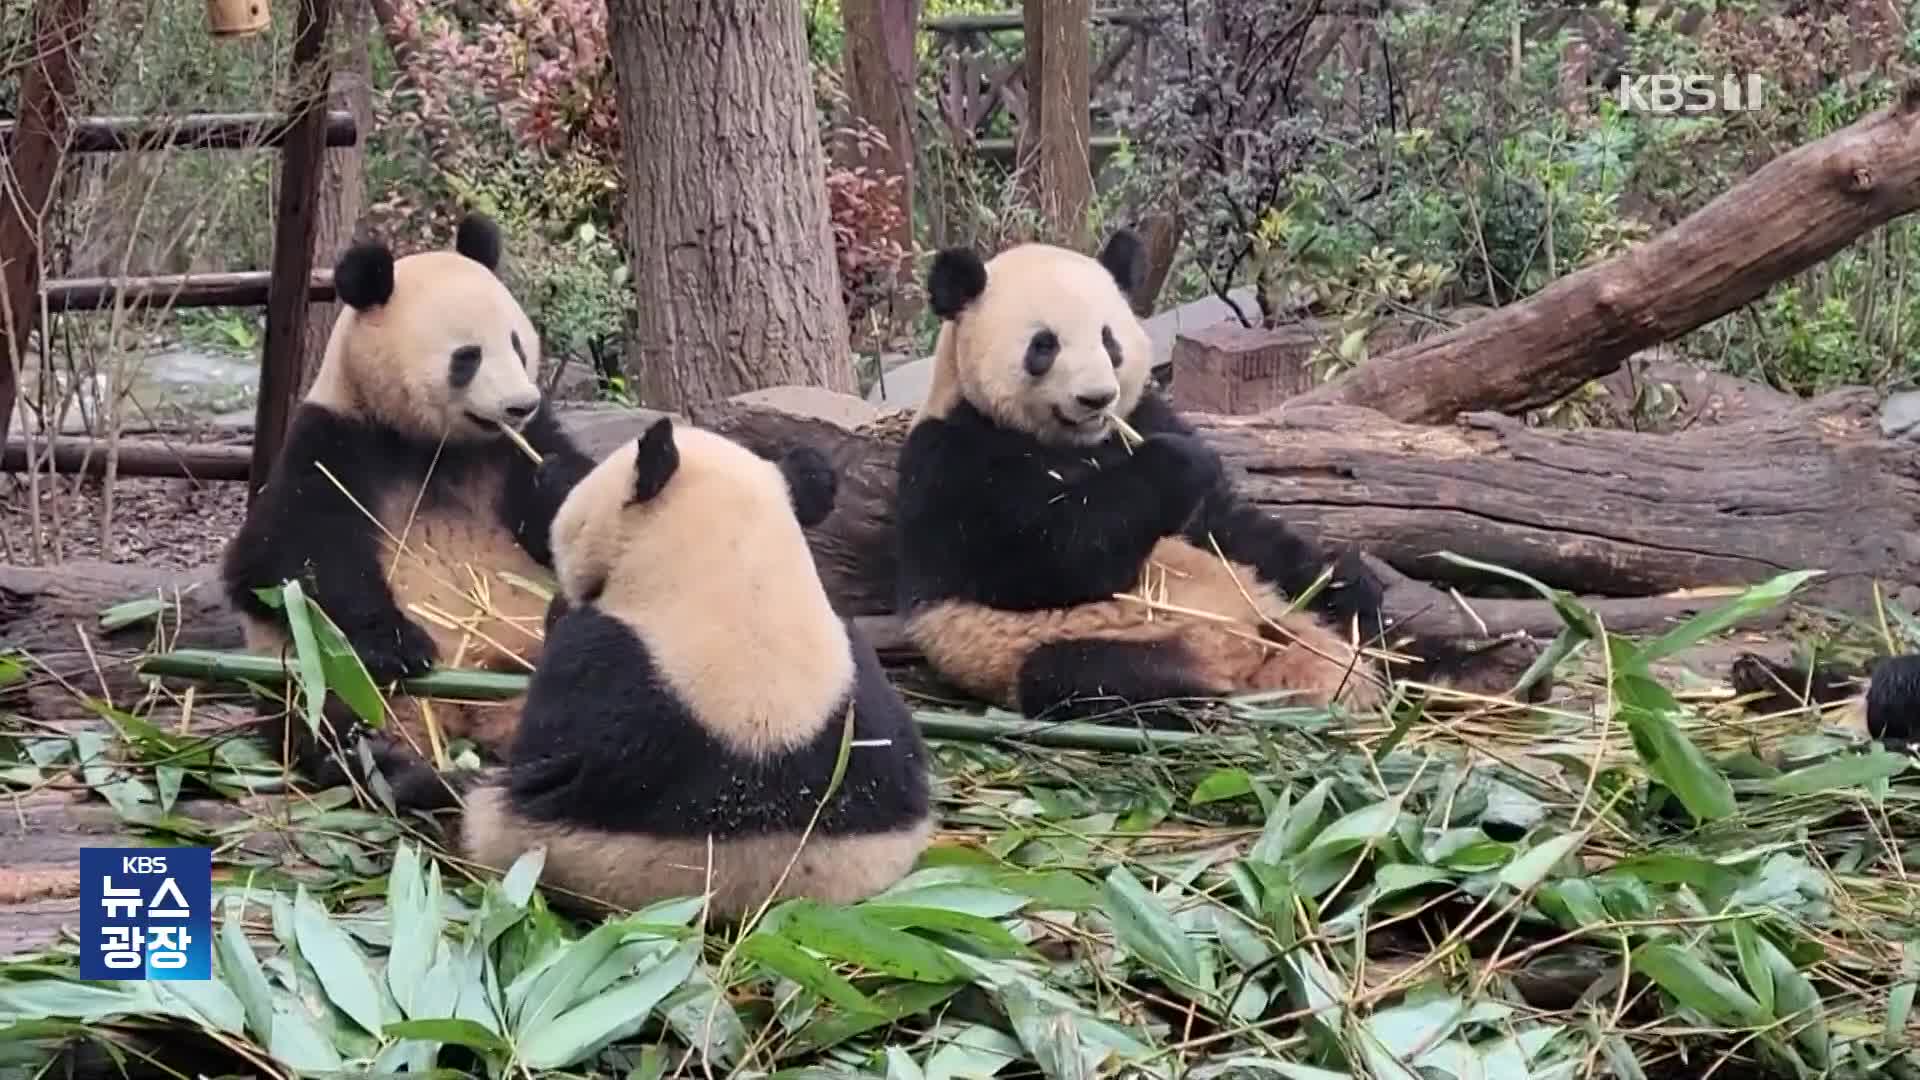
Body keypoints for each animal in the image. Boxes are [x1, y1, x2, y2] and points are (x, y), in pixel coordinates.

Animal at [217, 214, 595, 791]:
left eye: (516, 343)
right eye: (467, 356)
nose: (521, 404)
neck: (432, 444)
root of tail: (468, 709)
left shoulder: (510, 450)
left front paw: (553, 481)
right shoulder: (333, 442)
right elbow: (281, 558)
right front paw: (401, 643)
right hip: (316, 673)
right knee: (333, 705)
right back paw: (386, 764)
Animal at [890, 231, 1551, 726]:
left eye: (1109, 340)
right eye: (1043, 345)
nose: (1096, 398)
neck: (1074, 443)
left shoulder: (1145, 413)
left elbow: (1228, 523)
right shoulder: (951, 461)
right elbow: (1035, 559)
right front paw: (1175, 466)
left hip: (1287, 606)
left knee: (1374, 631)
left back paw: (1492, 668)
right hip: (1052, 649)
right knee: (1093, 677)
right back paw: (1214, 703)